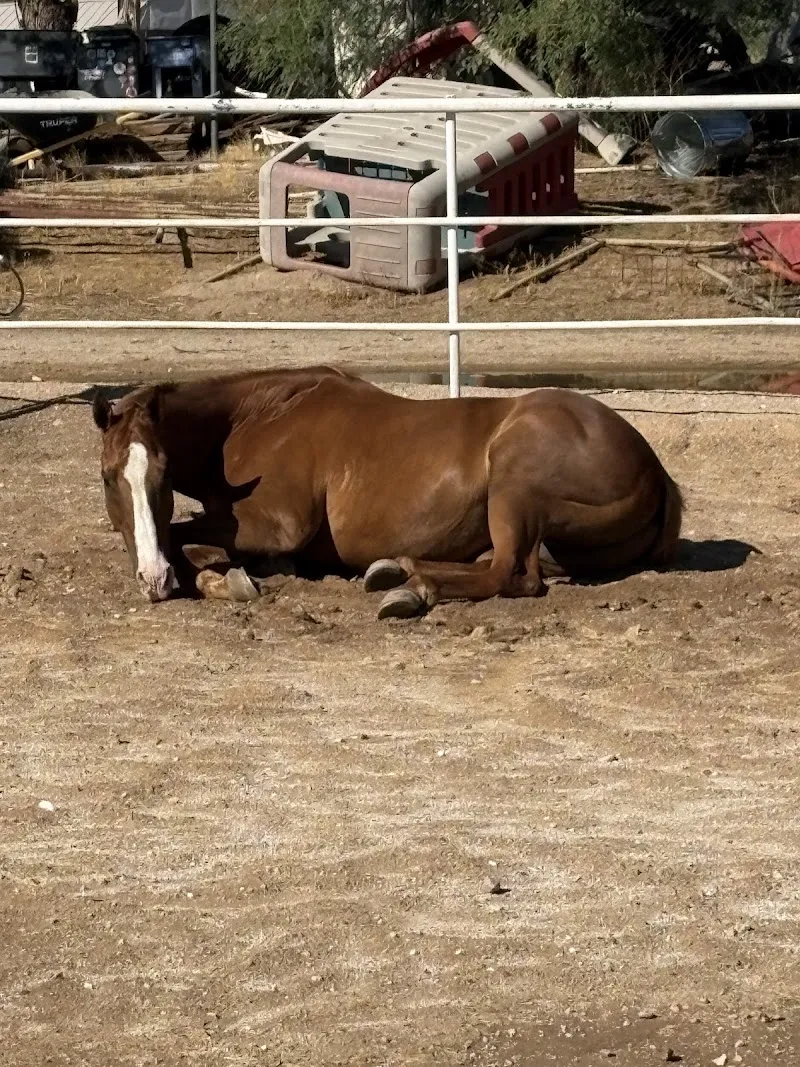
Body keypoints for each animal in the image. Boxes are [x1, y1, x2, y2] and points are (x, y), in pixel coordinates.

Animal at [92, 366, 683, 618]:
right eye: (107, 475)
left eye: (164, 472)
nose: (153, 581)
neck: (256, 418)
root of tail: (654, 470)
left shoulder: (276, 525)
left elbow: (184, 537)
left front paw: (220, 579)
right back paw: (397, 570)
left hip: (513, 489)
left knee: (513, 575)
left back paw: (411, 589)